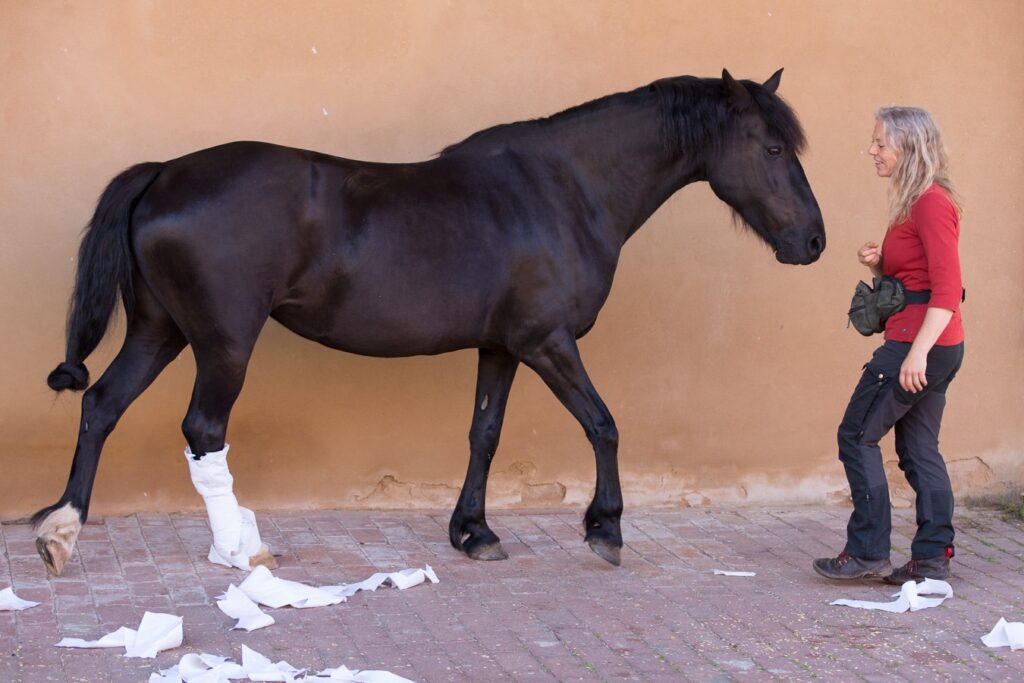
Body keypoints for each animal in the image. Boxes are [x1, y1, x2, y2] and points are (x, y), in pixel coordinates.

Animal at [33, 69, 825, 575]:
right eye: (772, 147)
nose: (813, 241)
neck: (563, 190)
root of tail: (163, 173)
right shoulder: (547, 342)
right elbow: (603, 425)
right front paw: (606, 527)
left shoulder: (502, 346)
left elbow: (484, 434)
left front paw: (472, 532)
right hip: (224, 343)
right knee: (203, 431)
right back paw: (239, 549)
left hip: (160, 330)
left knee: (101, 404)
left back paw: (63, 528)